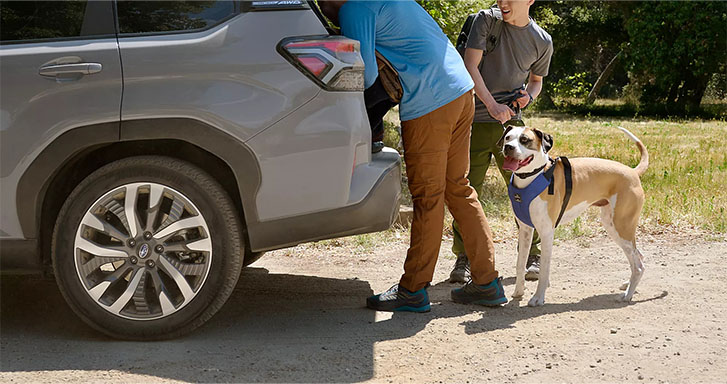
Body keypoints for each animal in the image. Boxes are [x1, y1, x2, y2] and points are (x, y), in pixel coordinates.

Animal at [500, 125, 648, 306]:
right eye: (507, 137)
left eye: (524, 140)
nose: (508, 147)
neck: (533, 176)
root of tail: (632, 171)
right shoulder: (525, 230)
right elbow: (520, 264)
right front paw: (518, 292)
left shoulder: (546, 233)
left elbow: (544, 270)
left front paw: (538, 297)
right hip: (613, 226)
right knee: (638, 257)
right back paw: (628, 284)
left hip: (622, 227)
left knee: (638, 264)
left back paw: (627, 295)